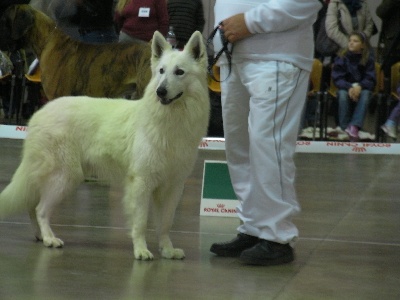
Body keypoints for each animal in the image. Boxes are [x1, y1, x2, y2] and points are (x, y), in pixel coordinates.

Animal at [0, 31, 211, 260]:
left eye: (179, 72)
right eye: (161, 71)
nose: (160, 91)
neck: (171, 120)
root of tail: (39, 113)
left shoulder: (173, 187)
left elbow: (165, 223)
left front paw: (168, 250)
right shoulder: (142, 183)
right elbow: (140, 222)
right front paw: (141, 250)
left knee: (32, 204)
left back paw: (40, 235)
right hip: (66, 176)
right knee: (40, 209)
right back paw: (49, 238)